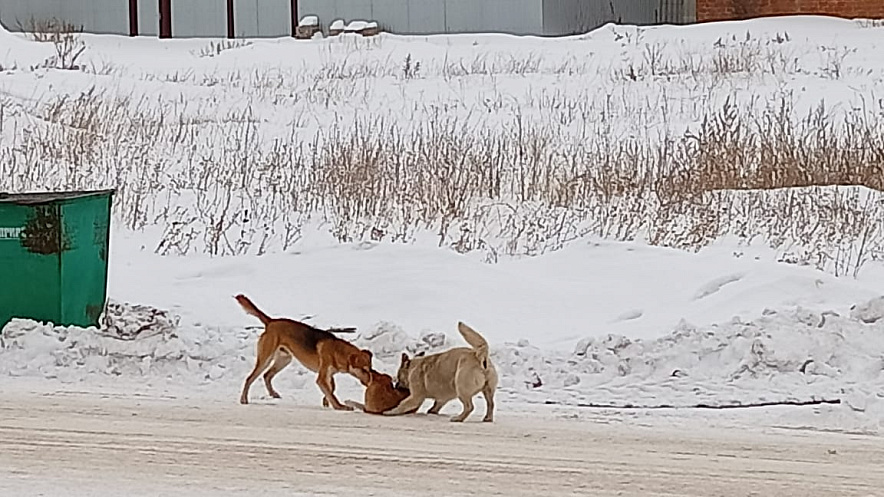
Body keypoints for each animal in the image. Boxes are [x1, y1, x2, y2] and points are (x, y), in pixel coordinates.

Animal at [233, 292, 372, 408]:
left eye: (370, 369)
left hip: (284, 359)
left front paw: (326, 401)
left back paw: (273, 394)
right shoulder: (322, 376)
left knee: (267, 375)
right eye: (364, 369)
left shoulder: (328, 374)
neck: (337, 351)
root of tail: (271, 322)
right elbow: (331, 392)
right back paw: (244, 399)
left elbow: (331, 389)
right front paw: (339, 406)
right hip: (265, 358)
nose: (370, 383)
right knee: (250, 378)